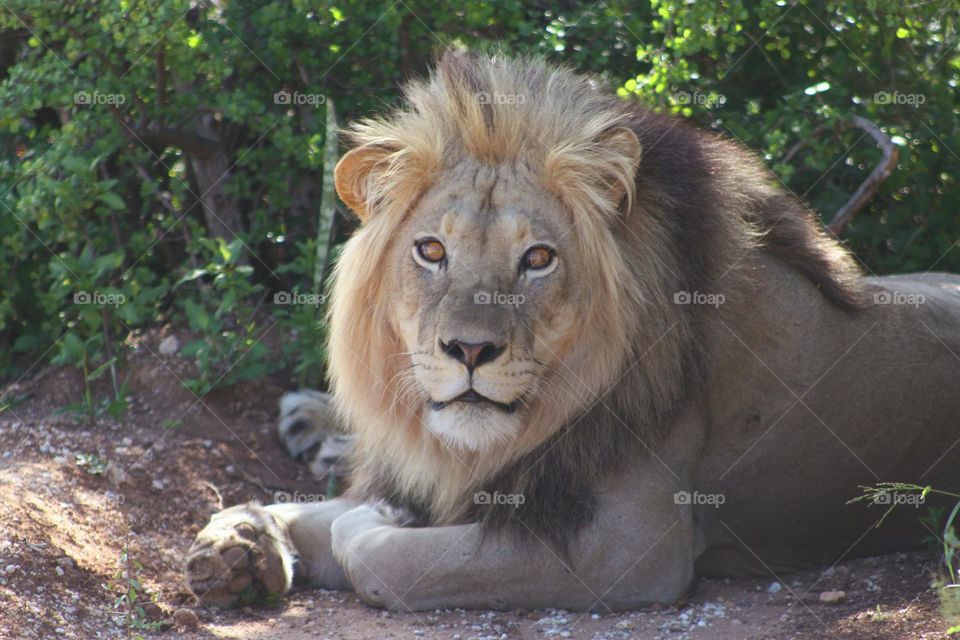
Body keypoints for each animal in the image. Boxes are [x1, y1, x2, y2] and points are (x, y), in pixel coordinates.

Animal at [182, 48, 960, 608]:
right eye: (431, 251)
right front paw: (239, 544)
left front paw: (370, 523)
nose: (469, 349)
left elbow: (381, 555)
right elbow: (308, 510)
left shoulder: (628, 549)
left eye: (537, 259)